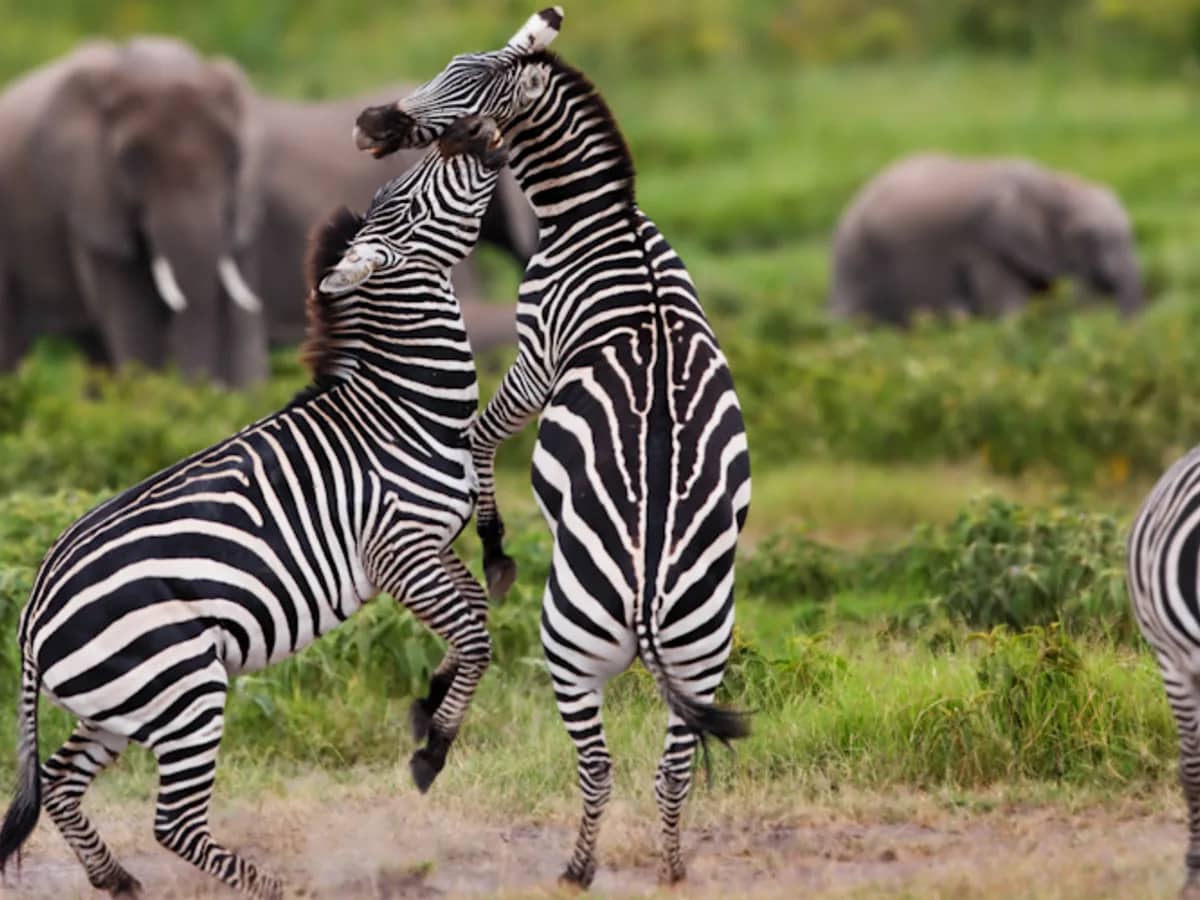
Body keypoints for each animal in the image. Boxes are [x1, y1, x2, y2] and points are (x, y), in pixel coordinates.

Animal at [0, 37, 269, 384]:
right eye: (132, 160)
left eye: (234, 156)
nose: (207, 388)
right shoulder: (93, 197)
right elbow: (134, 317)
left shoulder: (243, 202)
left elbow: (242, 316)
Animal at [0, 114, 509, 899]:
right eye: (414, 194)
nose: (471, 131)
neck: (403, 406)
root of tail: (30, 618)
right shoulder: (396, 549)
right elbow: (478, 638)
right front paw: (434, 749)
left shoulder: (432, 544)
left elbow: (474, 617)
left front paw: (429, 704)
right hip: (183, 687)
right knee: (173, 823)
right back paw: (274, 890)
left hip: (123, 700)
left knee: (59, 780)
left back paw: (117, 880)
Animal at [354, 8, 752, 888]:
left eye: (464, 93)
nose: (368, 121)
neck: (602, 220)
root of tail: (647, 601)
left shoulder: (537, 352)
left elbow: (476, 437)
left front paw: (494, 546)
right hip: (704, 648)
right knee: (672, 769)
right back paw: (670, 870)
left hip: (570, 645)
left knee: (597, 765)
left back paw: (574, 868)